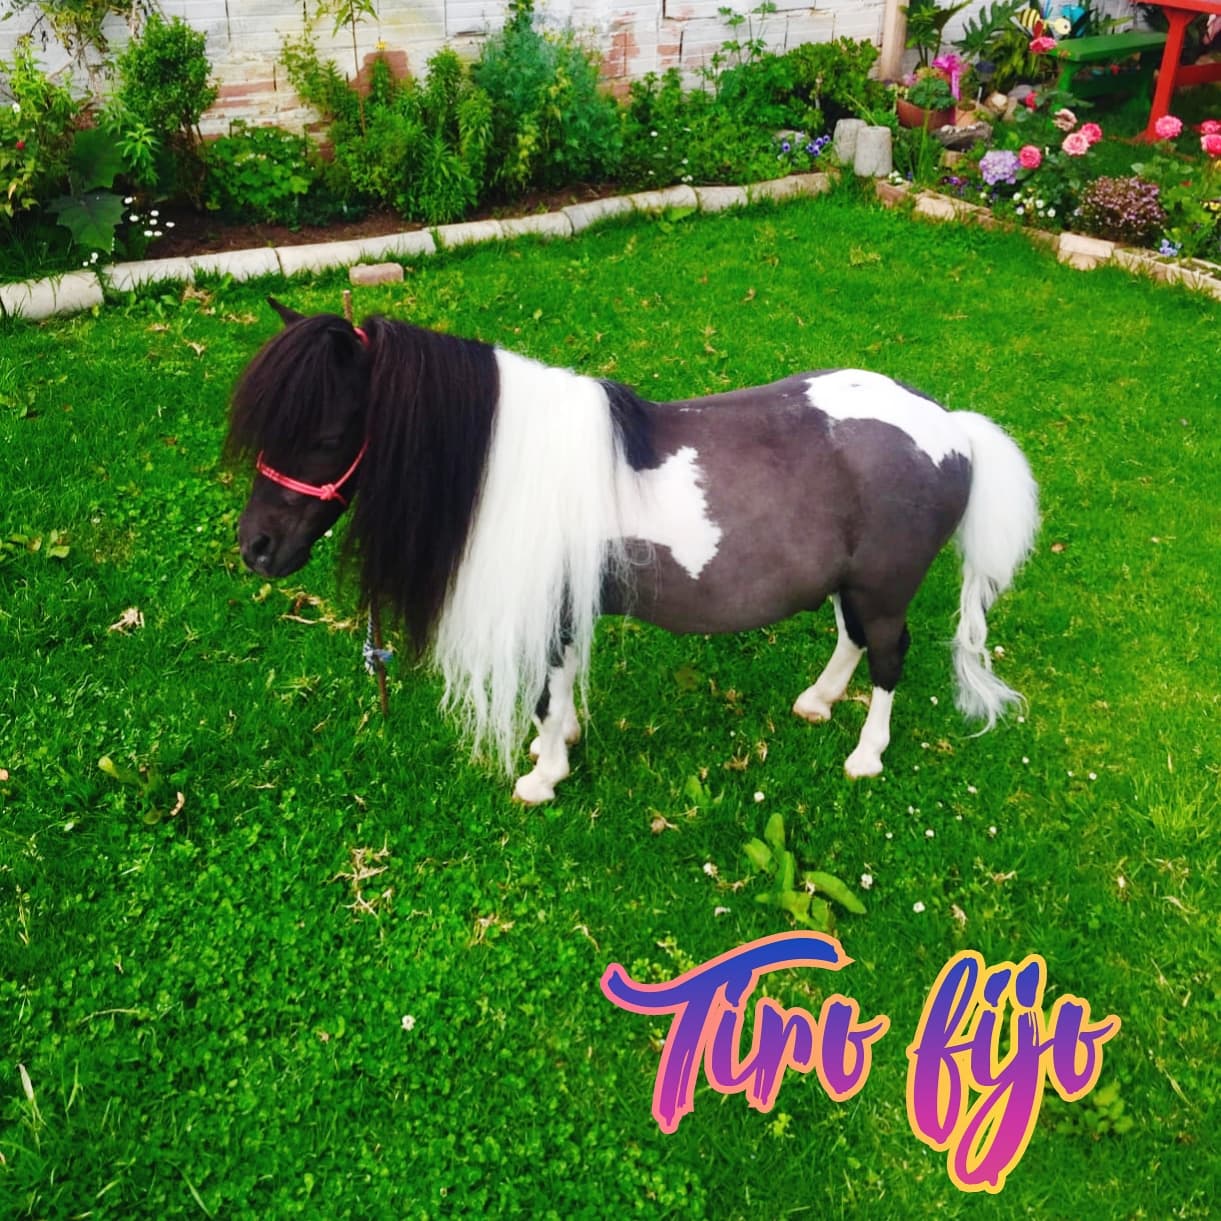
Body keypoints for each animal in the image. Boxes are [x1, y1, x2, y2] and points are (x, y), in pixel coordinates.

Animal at [225, 300, 1038, 804]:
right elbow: (560, 687)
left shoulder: (551, 607)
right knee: (851, 640)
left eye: (329, 435)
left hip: (884, 586)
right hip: (848, 583)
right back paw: (816, 701)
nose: (256, 548)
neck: (509, 464)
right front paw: (555, 746)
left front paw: (543, 775)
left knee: (889, 656)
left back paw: (866, 755)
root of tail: (952, 427)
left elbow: (547, 690)